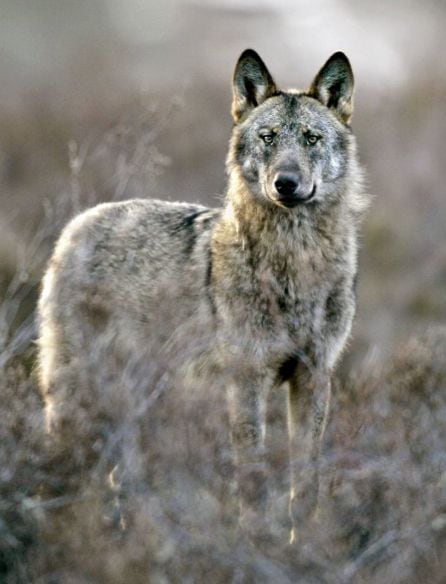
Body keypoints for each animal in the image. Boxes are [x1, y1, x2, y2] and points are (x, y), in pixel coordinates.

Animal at [37, 49, 366, 544]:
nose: (285, 183)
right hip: (79, 395)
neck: (294, 264)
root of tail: (77, 224)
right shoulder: (246, 380)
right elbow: (252, 479)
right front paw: (257, 545)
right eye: (268, 137)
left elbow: (305, 482)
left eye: (311, 138)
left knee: (119, 474)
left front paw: (305, 546)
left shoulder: (313, 375)